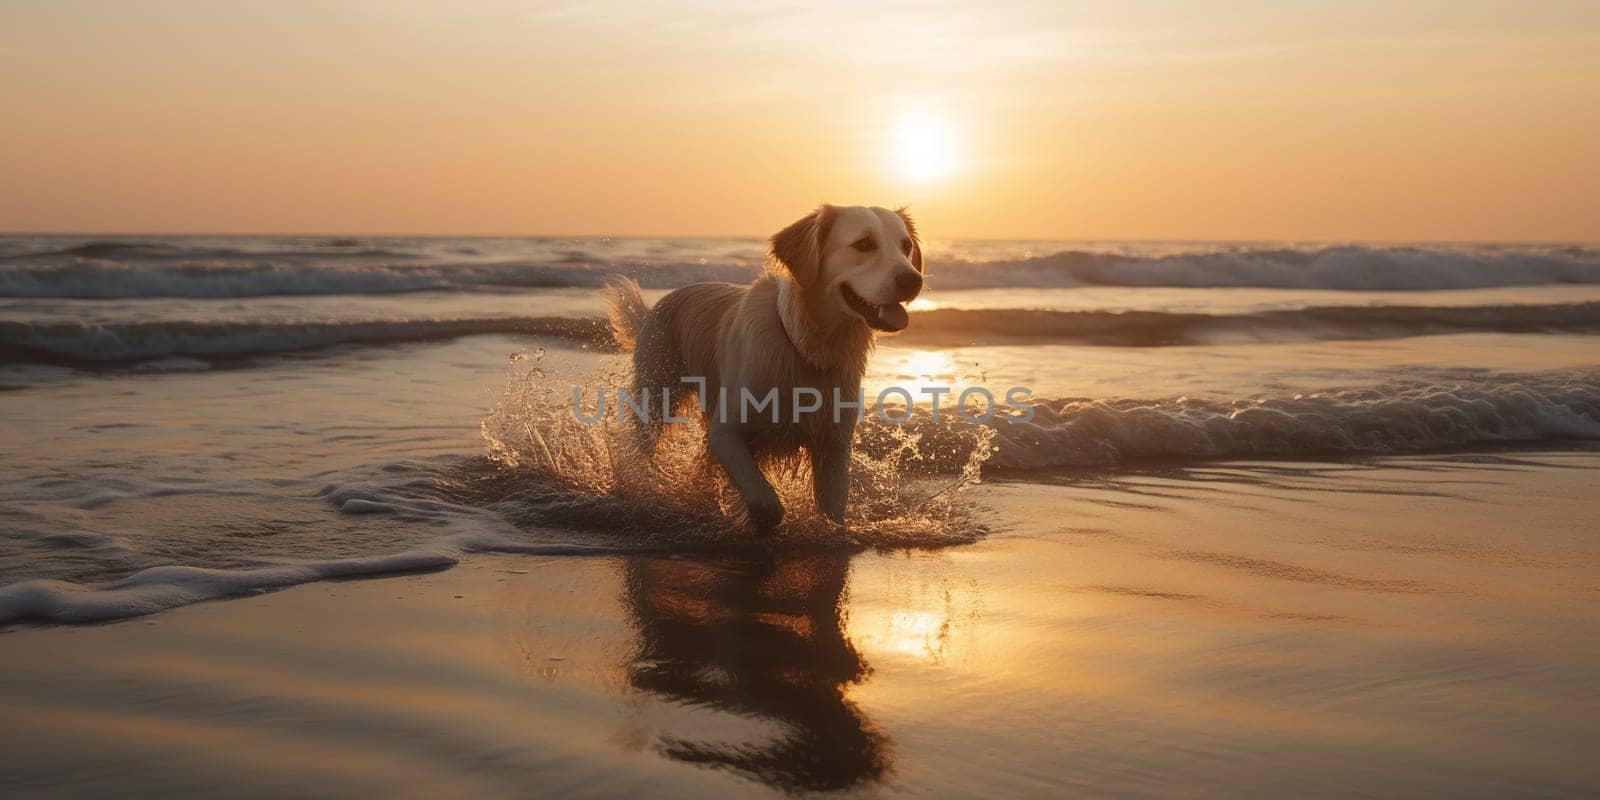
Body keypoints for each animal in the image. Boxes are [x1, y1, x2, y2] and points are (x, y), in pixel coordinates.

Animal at [601, 206, 928, 531]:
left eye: (906, 246)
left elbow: (832, 511)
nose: (914, 280)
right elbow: (765, 501)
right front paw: (756, 520)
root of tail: (650, 311)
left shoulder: (833, 446)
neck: (804, 347)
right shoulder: (726, 432)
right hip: (656, 398)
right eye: (864, 244)